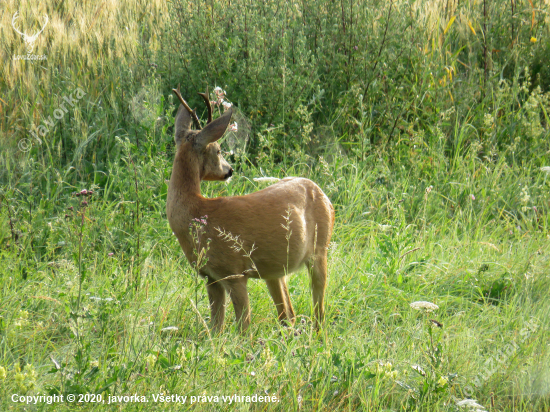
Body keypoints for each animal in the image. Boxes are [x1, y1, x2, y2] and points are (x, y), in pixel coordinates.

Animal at [166, 86, 334, 332]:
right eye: (218, 150)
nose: (229, 170)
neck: (196, 212)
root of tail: (325, 195)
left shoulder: (234, 271)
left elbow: (244, 329)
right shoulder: (211, 277)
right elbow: (215, 330)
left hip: (320, 250)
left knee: (319, 313)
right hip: (274, 270)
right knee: (288, 315)